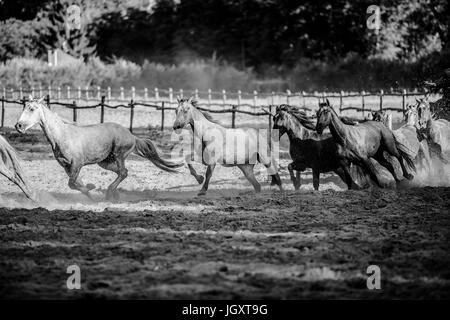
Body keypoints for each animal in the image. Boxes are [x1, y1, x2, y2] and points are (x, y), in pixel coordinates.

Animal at [15, 95, 181, 200]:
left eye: (32, 108)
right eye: (24, 107)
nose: (19, 126)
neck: (62, 136)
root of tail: (132, 136)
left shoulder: (77, 164)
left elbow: (72, 184)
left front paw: (91, 187)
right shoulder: (67, 166)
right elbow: (75, 184)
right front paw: (91, 194)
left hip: (119, 155)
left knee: (123, 172)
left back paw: (109, 193)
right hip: (105, 162)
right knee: (123, 172)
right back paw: (113, 195)